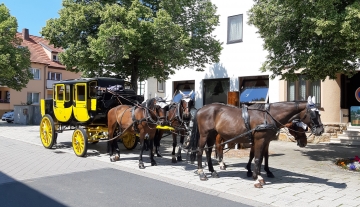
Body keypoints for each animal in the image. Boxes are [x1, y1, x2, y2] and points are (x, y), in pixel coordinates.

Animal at [188, 96, 324, 188]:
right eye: (313, 113)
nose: (321, 130)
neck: (269, 116)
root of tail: (201, 109)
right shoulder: (260, 140)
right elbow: (258, 158)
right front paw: (257, 178)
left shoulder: (265, 141)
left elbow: (262, 157)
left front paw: (259, 173)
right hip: (204, 135)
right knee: (200, 151)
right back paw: (202, 173)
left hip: (212, 134)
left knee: (209, 151)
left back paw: (212, 171)